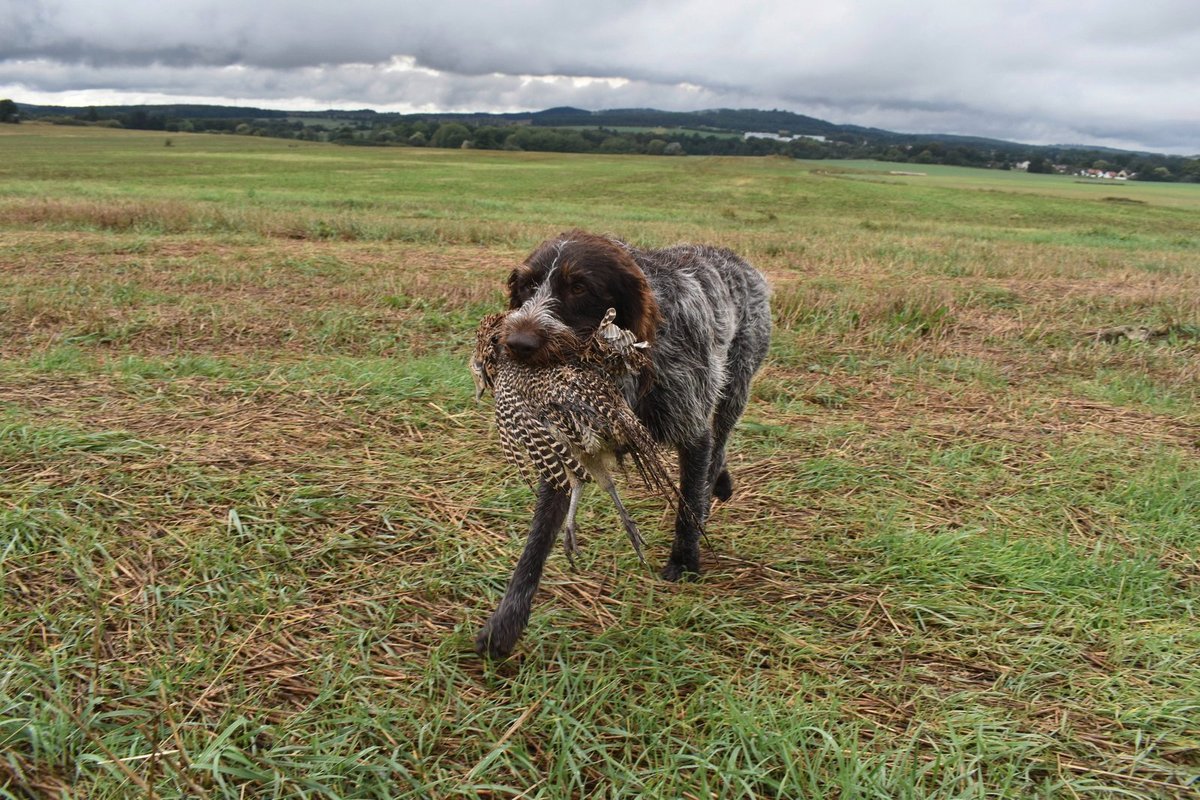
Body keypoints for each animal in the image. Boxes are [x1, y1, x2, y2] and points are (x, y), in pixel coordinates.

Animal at [472, 230, 772, 657]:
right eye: (527, 286)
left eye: (579, 287)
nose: (515, 343)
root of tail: (736, 259)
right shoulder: (567, 446)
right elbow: (537, 541)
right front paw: (506, 622)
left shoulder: (693, 428)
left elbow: (689, 497)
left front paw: (685, 560)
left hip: (735, 385)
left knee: (720, 444)